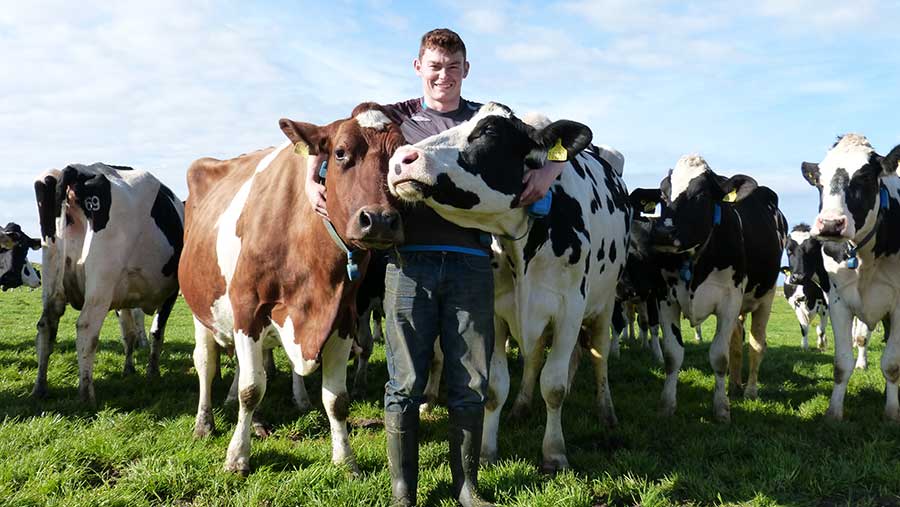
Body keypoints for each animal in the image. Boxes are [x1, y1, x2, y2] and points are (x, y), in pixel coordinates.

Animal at [33, 164, 185, 404]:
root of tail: (78, 169)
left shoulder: (123, 293)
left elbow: (129, 334)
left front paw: (129, 370)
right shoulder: (171, 291)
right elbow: (156, 332)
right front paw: (152, 372)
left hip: (52, 277)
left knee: (46, 325)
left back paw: (40, 387)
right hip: (101, 283)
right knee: (86, 328)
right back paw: (86, 394)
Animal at [180, 103, 404, 476]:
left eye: (402, 154)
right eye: (340, 152)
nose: (381, 220)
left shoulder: (343, 317)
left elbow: (337, 399)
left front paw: (346, 460)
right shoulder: (248, 309)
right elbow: (251, 389)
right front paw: (237, 456)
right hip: (201, 308)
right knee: (206, 363)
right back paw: (205, 422)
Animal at [388, 102, 632, 472]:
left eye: (489, 131)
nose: (401, 158)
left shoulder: (569, 310)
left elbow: (555, 386)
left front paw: (554, 452)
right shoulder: (493, 312)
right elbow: (495, 390)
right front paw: (487, 451)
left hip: (604, 304)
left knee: (599, 354)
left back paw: (607, 413)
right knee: (535, 357)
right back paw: (521, 406)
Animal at [632, 156, 788, 424]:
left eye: (701, 195)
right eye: (662, 195)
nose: (663, 233)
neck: (696, 262)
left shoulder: (728, 302)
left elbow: (719, 357)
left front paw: (721, 409)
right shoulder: (666, 300)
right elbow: (673, 356)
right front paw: (666, 406)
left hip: (765, 298)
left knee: (757, 345)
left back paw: (750, 390)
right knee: (737, 341)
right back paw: (734, 385)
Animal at [800, 134, 900, 420]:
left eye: (865, 177)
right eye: (819, 182)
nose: (830, 224)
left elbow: (892, 364)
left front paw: (892, 412)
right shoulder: (838, 302)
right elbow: (842, 363)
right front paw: (834, 413)